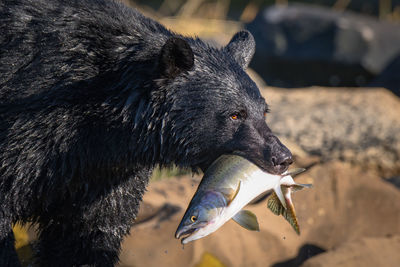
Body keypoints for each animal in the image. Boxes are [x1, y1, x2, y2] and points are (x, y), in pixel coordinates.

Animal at [0, 0, 294, 266]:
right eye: (235, 114)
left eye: (263, 111)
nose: (282, 158)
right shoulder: (26, 133)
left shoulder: (106, 173)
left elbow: (89, 233)